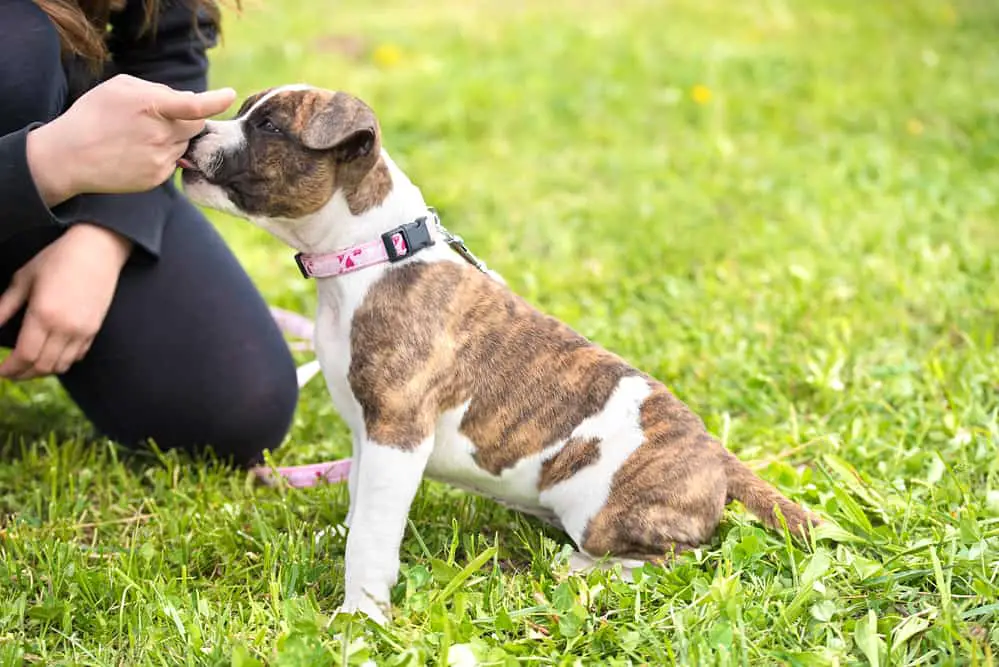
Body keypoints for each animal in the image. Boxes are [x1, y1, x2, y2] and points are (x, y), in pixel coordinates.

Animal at [180, 83, 820, 628]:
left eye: (267, 125)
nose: (192, 133)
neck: (372, 255)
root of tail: (717, 454)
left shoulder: (396, 434)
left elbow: (373, 534)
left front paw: (360, 616)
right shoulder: (369, 436)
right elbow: (362, 508)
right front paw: (336, 546)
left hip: (598, 506)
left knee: (682, 554)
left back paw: (580, 566)